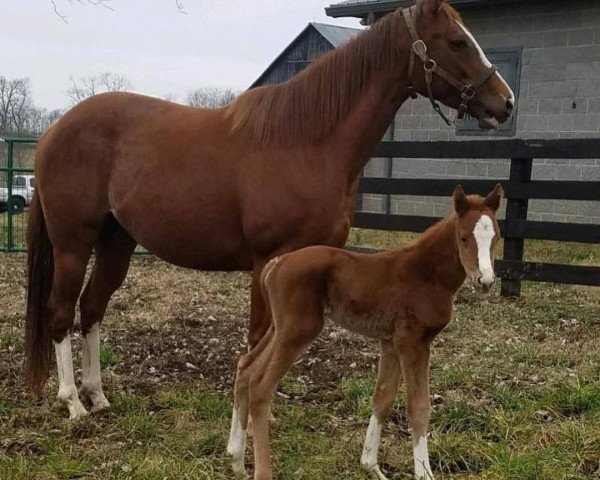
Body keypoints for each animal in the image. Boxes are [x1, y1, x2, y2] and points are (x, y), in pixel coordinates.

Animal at [227, 185, 504, 480]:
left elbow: (383, 398)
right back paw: (260, 469)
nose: (485, 280)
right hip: (297, 330)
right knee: (260, 385)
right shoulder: (413, 341)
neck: (426, 274)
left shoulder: (391, 342)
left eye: (497, 237)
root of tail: (276, 263)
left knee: (246, 367)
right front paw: (424, 473)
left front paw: (371, 466)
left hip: (279, 327)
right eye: (464, 237)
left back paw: (236, 459)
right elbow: (418, 406)